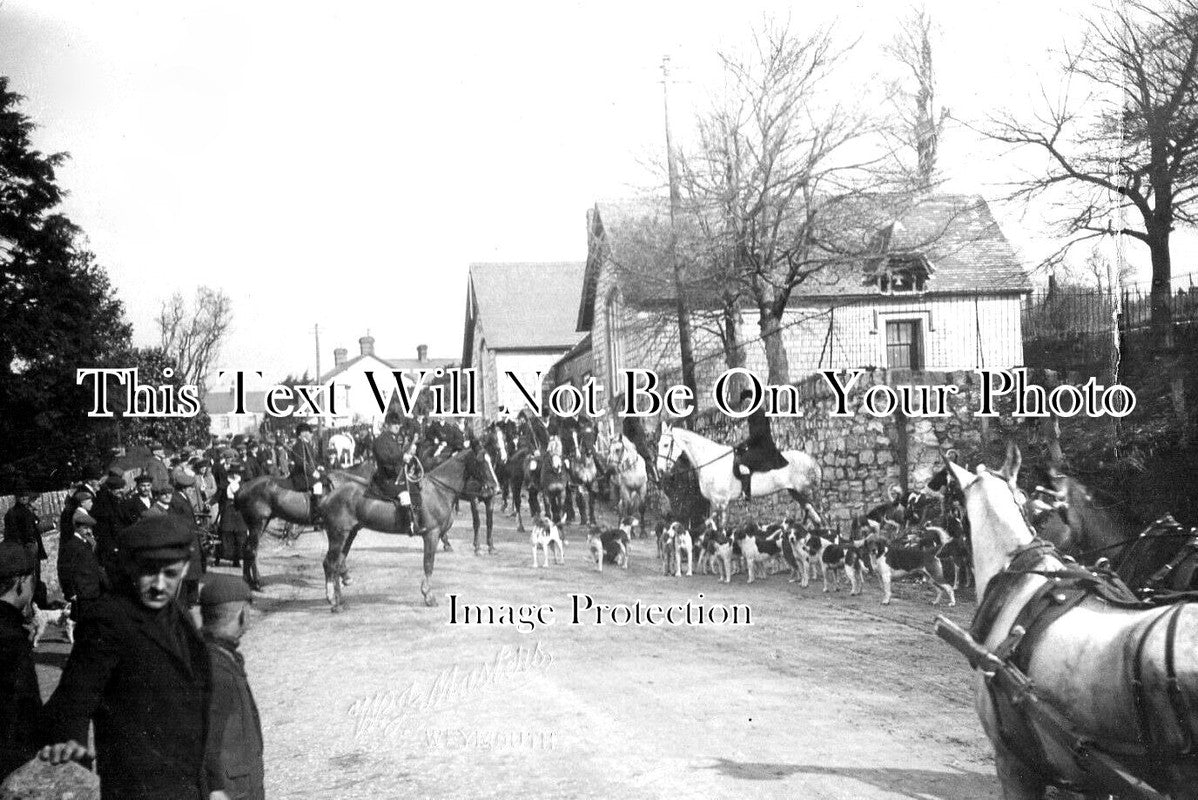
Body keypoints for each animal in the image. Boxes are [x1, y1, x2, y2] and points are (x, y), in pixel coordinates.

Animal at [656, 421, 824, 526]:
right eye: (658, 444)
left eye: (666, 444)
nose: (660, 470)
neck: (711, 460)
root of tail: (812, 460)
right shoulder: (714, 502)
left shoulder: (722, 502)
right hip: (796, 493)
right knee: (815, 517)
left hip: (806, 492)